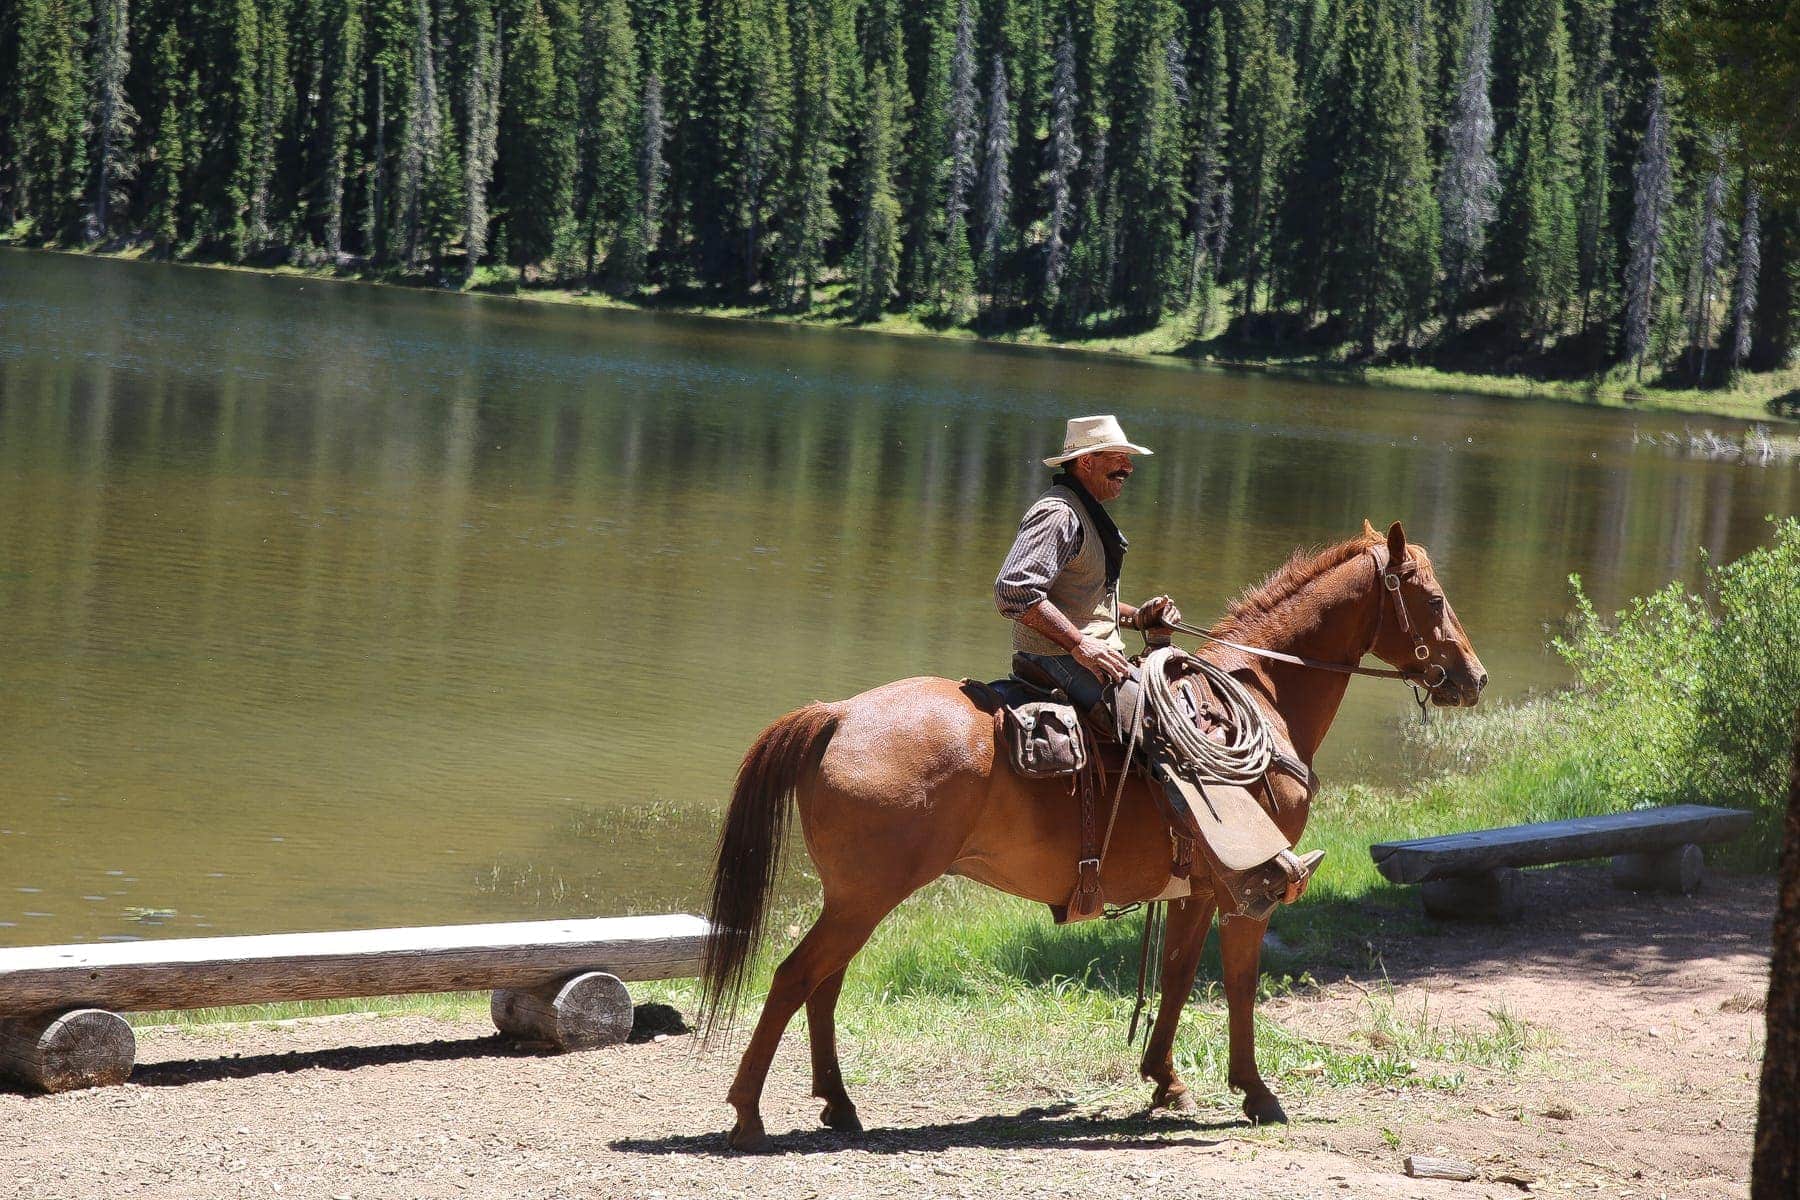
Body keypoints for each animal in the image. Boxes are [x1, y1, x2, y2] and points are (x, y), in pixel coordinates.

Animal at [694, 518, 1483, 1151]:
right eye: (1433, 599)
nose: (1472, 676)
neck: (1263, 692)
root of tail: (837, 713)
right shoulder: (1247, 890)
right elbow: (1238, 982)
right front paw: (1257, 1093)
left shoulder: (1195, 887)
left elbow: (1175, 976)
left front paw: (1165, 1080)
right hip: (864, 898)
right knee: (795, 978)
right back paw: (748, 1115)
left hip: (857, 900)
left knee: (822, 986)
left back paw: (839, 1105)